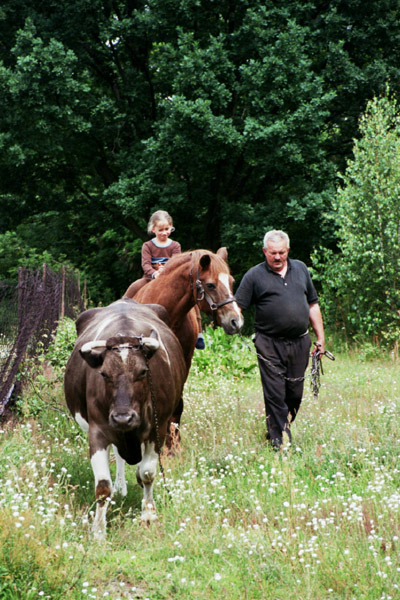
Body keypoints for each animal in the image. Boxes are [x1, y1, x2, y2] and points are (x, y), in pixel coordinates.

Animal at [63, 298, 186, 536]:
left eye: (143, 372)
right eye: (104, 374)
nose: (123, 418)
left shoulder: (157, 428)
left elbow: (147, 473)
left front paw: (148, 515)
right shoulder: (98, 431)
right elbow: (102, 486)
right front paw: (98, 532)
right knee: (118, 456)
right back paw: (120, 487)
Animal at [124, 246, 244, 448]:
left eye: (231, 281)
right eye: (210, 285)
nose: (236, 321)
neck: (168, 313)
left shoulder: (184, 361)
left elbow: (177, 403)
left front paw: (173, 446)